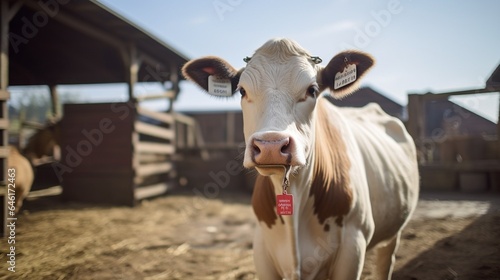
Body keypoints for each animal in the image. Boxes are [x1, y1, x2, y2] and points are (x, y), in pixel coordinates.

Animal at [182, 37, 420, 280]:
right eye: (242, 91)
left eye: (312, 90)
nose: (271, 145)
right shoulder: (262, 251)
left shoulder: (353, 247)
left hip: (393, 233)